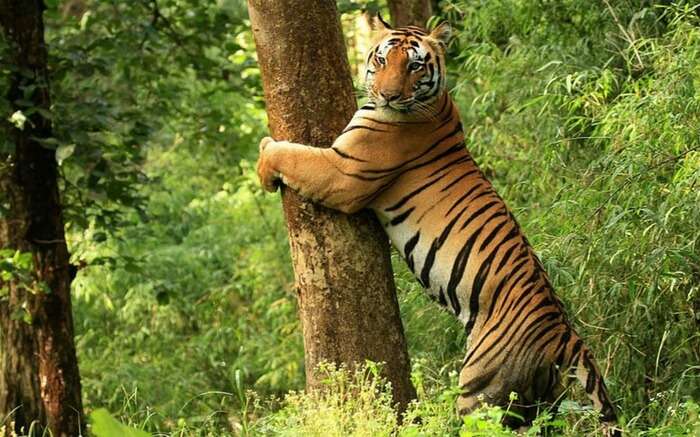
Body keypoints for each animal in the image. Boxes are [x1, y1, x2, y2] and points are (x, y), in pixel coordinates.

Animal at [254, 15, 620, 434]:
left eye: (414, 65)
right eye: (382, 60)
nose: (389, 96)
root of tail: (565, 334)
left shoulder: (343, 172)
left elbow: (292, 154)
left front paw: (264, 161)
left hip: (481, 390)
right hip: (540, 402)